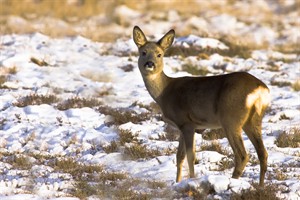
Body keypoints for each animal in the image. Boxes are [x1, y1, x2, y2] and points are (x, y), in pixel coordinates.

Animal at [132, 25, 270, 187]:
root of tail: (260, 89)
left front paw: (191, 180)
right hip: (253, 120)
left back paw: (232, 182)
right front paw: (177, 182)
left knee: (242, 155)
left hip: (231, 119)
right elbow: (179, 156)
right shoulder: (183, 126)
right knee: (263, 153)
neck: (164, 93)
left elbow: (191, 156)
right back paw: (260, 186)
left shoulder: (187, 123)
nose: (150, 64)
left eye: (159, 54)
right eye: (143, 52)